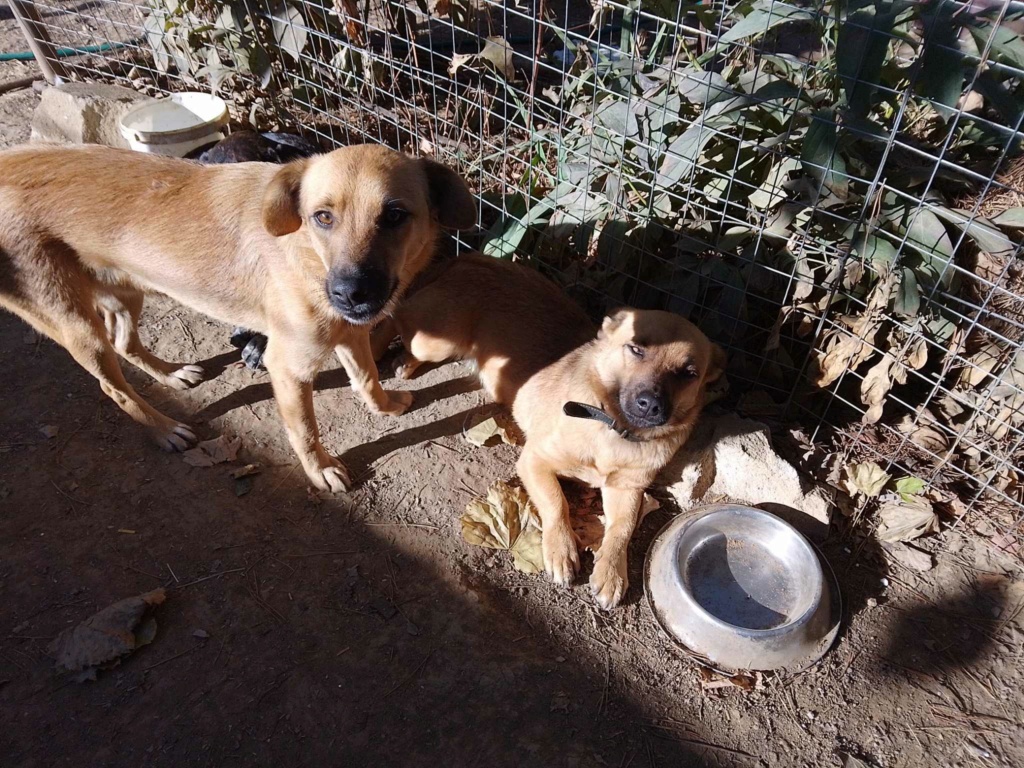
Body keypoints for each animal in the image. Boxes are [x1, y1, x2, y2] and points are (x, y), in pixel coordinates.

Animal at [0, 144, 471, 493]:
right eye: (323, 216)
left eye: (394, 215)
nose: (349, 293)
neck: (306, 253)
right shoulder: (288, 366)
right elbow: (305, 429)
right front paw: (320, 470)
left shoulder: (349, 335)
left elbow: (368, 378)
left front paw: (386, 405)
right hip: (76, 325)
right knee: (111, 386)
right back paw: (165, 429)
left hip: (125, 292)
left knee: (126, 342)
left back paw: (171, 375)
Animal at [387, 256, 724, 610]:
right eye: (635, 349)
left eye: (689, 373)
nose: (651, 405)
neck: (611, 429)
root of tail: (475, 259)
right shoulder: (534, 461)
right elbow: (557, 503)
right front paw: (561, 551)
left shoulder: (628, 489)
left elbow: (622, 528)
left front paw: (611, 572)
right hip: (434, 343)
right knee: (398, 317)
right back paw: (401, 359)